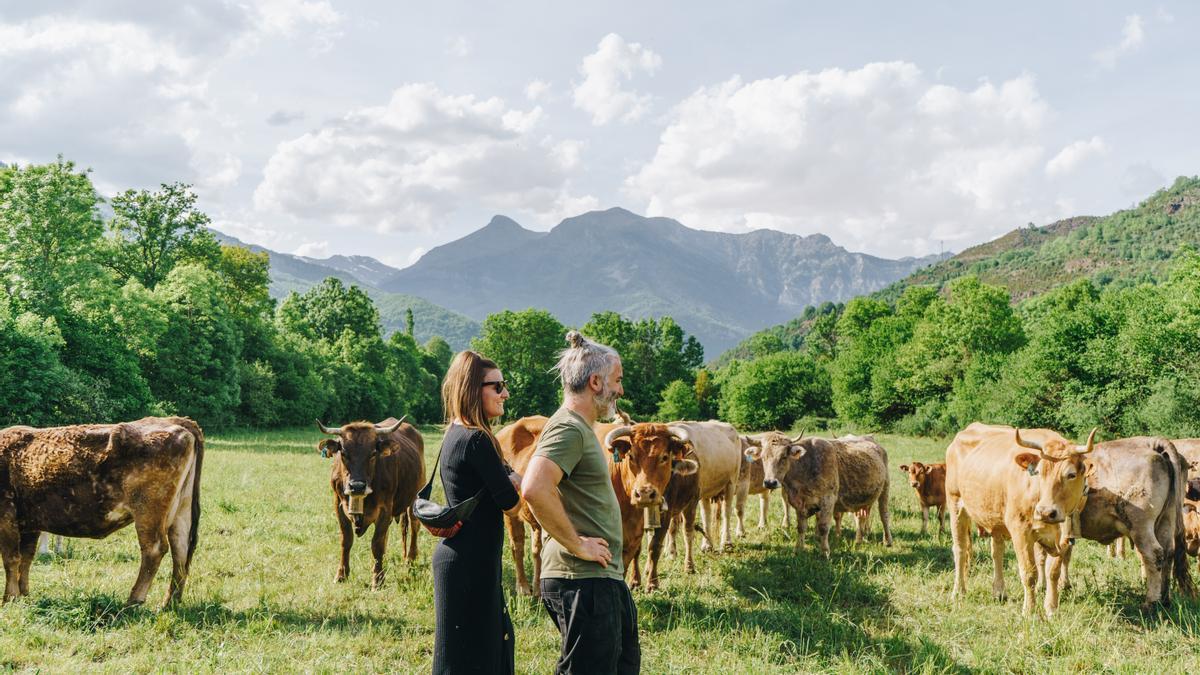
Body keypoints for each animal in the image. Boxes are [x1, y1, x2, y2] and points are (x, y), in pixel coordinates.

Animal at [0, 415, 204, 605]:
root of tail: (174, 420)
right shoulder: (30, 524)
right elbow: (25, 559)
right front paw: (23, 594)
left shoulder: (6, 517)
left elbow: (11, 559)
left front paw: (9, 598)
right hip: (180, 513)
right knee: (181, 550)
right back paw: (170, 602)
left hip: (148, 512)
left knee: (154, 549)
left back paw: (133, 601)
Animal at [316, 413, 424, 586]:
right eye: (343, 453)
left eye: (373, 453)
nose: (357, 486)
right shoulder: (338, 505)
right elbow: (346, 540)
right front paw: (341, 574)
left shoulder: (385, 508)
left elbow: (377, 544)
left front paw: (378, 579)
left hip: (415, 495)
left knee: (413, 526)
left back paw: (410, 560)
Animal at [748, 429, 892, 557]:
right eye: (763, 457)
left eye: (783, 456)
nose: (770, 482)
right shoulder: (799, 503)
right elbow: (801, 527)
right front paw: (798, 549)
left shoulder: (828, 500)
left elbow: (823, 527)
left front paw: (824, 552)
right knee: (860, 517)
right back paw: (859, 540)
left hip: (885, 488)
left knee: (884, 515)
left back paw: (887, 541)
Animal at [945, 422, 1099, 612]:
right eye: (1038, 472)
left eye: (1071, 474)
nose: (1045, 511)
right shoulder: (1020, 530)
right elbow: (1029, 573)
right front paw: (1029, 610)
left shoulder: (1063, 537)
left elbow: (1053, 573)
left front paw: (1051, 608)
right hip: (955, 504)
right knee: (960, 549)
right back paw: (958, 592)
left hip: (995, 517)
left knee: (997, 552)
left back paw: (999, 592)